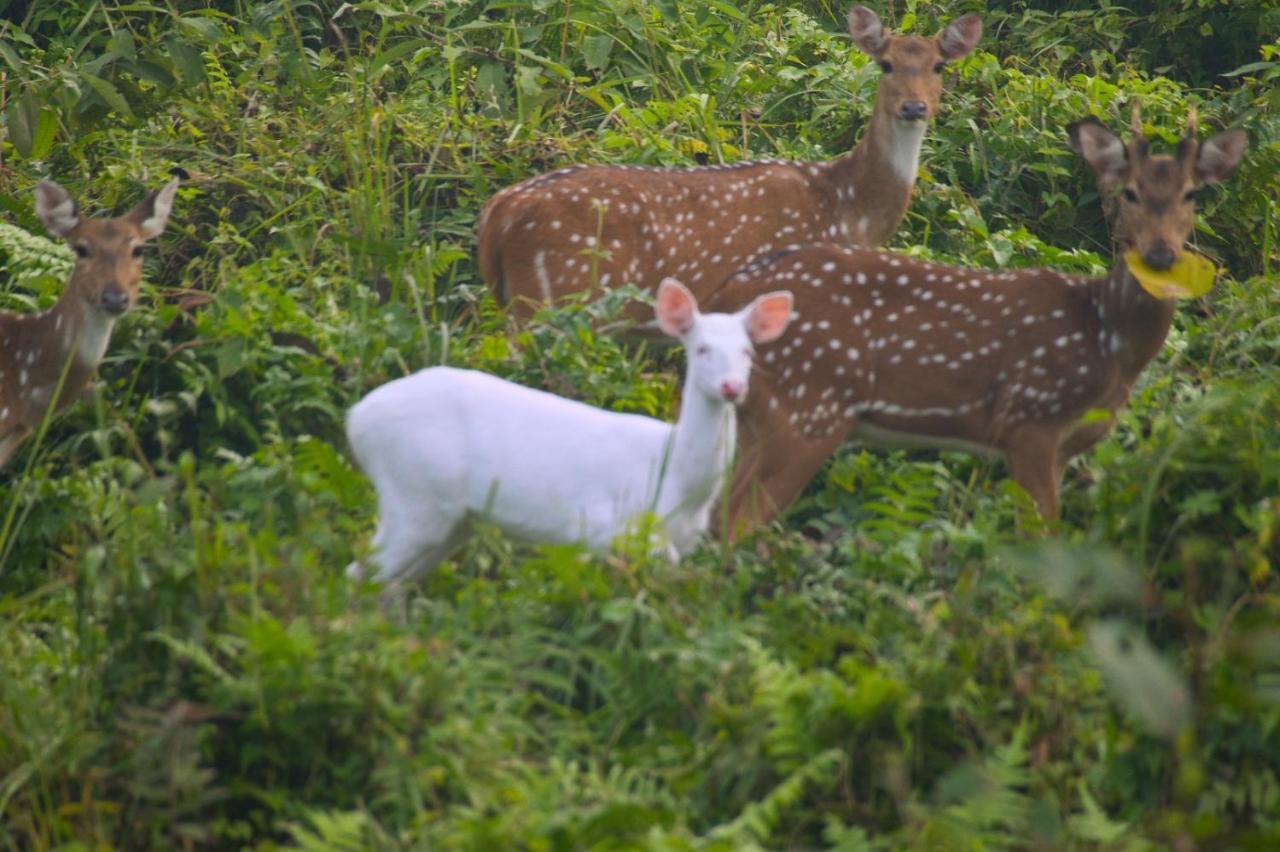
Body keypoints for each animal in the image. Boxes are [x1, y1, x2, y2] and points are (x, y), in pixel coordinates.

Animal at [340, 278, 788, 583]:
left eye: (748, 351)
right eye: (701, 349)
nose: (732, 387)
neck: (678, 474)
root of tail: (356, 420)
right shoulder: (604, 526)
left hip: (449, 519)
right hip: (414, 494)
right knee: (360, 575)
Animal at [476, 3, 983, 319]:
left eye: (939, 66)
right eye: (885, 64)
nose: (914, 107)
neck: (848, 208)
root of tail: (496, 214)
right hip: (555, 294)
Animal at [701, 106, 1249, 527]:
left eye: (1191, 194)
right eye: (1129, 192)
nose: (1159, 254)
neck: (1107, 341)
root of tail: (729, 294)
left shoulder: (1066, 446)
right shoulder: (1029, 421)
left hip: (761, 415)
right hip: (810, 405)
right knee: (735, 523)